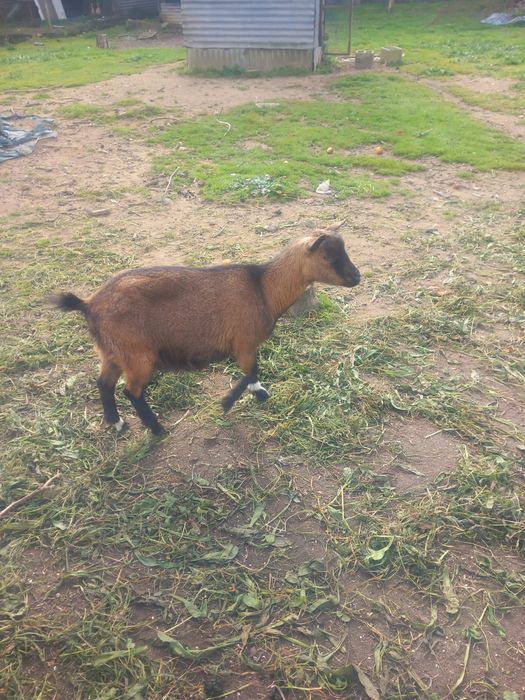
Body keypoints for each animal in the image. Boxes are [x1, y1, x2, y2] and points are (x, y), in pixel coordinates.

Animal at [53, 232, 360, 435]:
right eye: (329, 256)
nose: (357, 277)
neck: (263, 287)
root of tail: (89, 304)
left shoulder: (245, 345)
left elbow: (252, 371)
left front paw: (257, 393)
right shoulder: (243, 342)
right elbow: (250, 370)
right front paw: (230, 402)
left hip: (113, 352)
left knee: (104, 385)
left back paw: (117, 423)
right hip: (137, 356)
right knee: (132, 392)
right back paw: (157, 430)